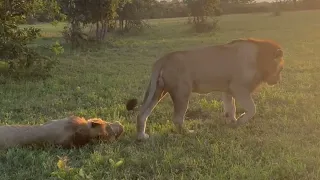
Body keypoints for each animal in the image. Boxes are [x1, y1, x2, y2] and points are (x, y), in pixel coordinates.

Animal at [125, 37, 284, 141]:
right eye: (281, 69)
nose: (278, 81)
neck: (259, 57)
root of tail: (163, 59)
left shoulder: (228, 89)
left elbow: (230, 108)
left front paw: (232, 122)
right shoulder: (239, 88)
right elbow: (252, 109)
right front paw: (240, 121)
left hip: (158, 91)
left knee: (142, 114)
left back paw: (141, 137)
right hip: (182, 92)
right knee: (177, 119)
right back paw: (188, 133)